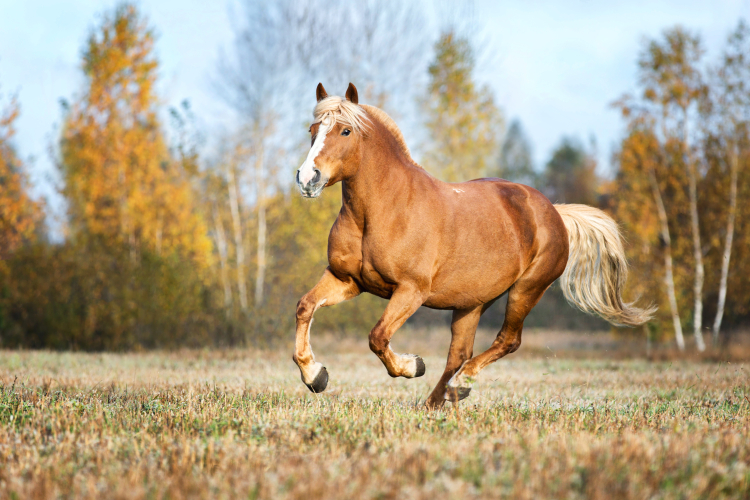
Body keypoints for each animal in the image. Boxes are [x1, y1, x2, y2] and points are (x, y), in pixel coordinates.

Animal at [290, 83, 656, 410]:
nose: (308, 178)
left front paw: (413, 365)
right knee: (460, 353)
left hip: (526, 289)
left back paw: (460, 385)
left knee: (506, 341)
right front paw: (316, 376)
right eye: (312, 129)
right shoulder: (346, 280)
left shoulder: (411, 290)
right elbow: (305, 307)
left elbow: (377, 336)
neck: (383, 210)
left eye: (346, 131)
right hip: (472, 302)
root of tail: (554, 212)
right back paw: (438, 401)